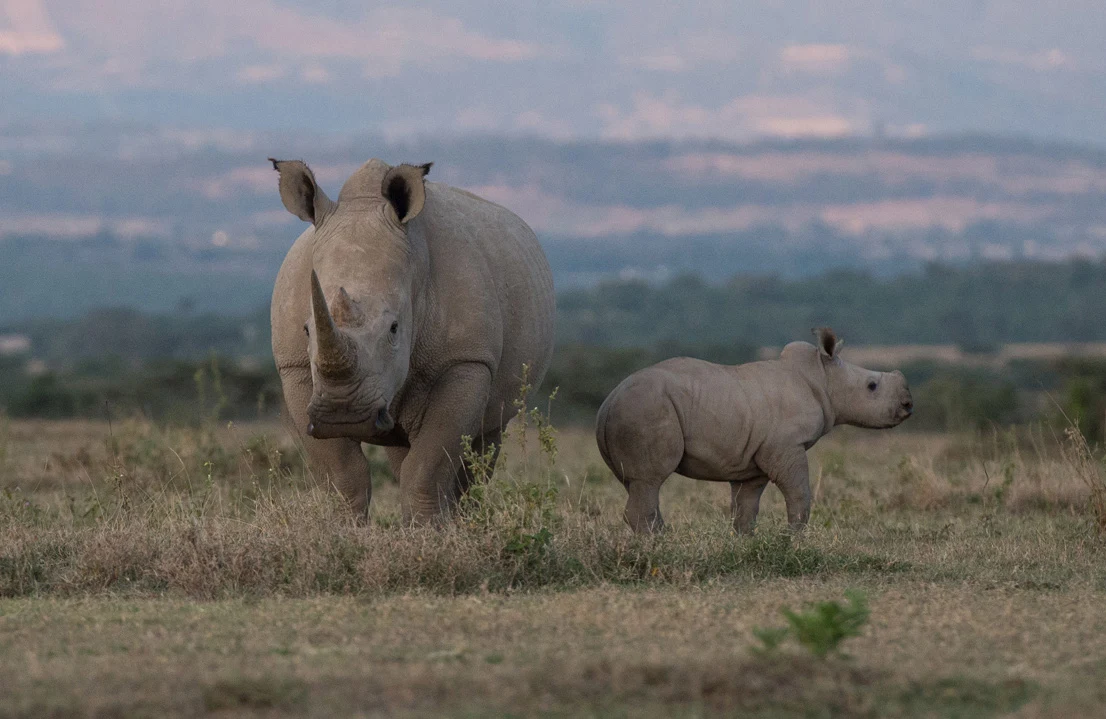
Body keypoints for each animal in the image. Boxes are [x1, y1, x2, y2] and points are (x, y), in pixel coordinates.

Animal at [269, 158, 555, 523]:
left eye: (394, 328)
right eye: (307, 330)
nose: (343, 415)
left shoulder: (466, 361)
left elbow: (428, 465)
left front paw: (430, 531)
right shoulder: (295, 368)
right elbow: (342, 473)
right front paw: (342, 528)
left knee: (485, 441)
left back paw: (466, 519)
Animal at [595, 328, 912, 533]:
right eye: (872, 386)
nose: (909, 405)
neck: (823, 376)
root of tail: (608, 402)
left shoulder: (753, 460)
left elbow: (746, 509)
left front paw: (746, 543)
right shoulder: (785, 446)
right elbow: (799, 494)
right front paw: (792, 540)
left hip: (632, 410)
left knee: (636, 484)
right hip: (646, 409)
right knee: (649, 480)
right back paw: (659, 544)